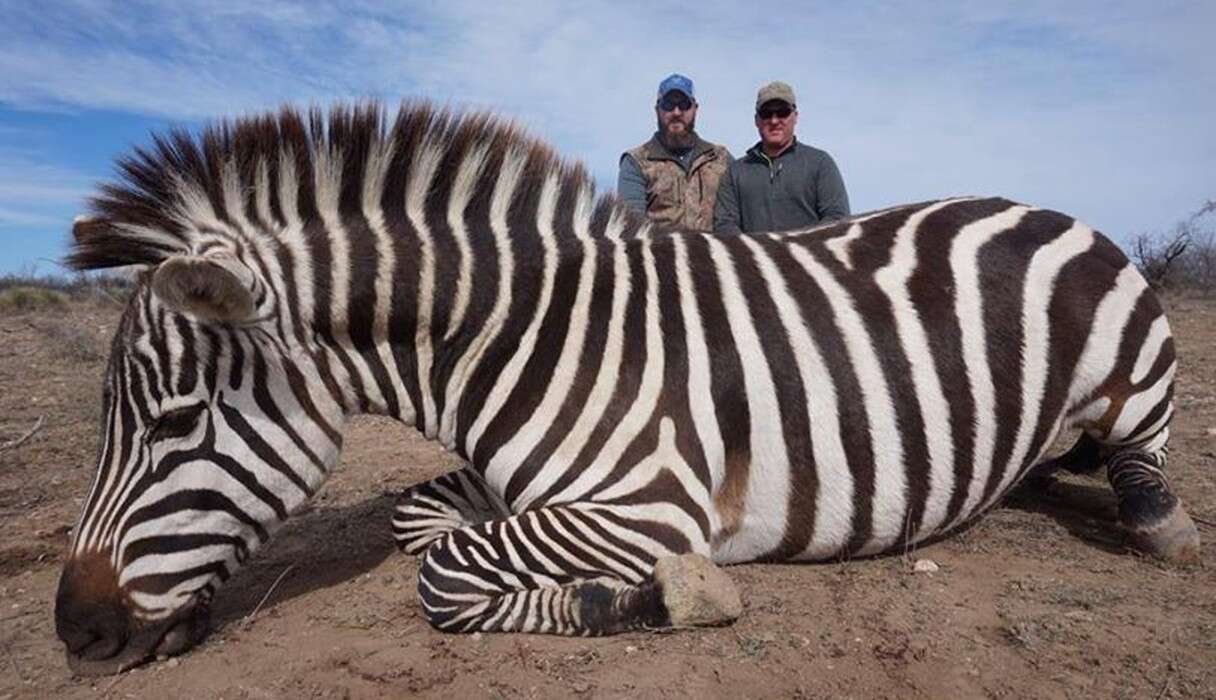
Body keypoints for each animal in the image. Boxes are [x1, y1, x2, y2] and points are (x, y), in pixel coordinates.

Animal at [55, 102, 1200, 675]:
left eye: (172, 422)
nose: (77, 634)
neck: (531, 337)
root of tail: (1045, 206)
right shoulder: (521, 482)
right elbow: (423, 524)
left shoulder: (649, 502)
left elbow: (445, 575)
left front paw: (657, 596)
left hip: (1134, 367)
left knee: (1144, 464)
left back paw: (1156, 515)